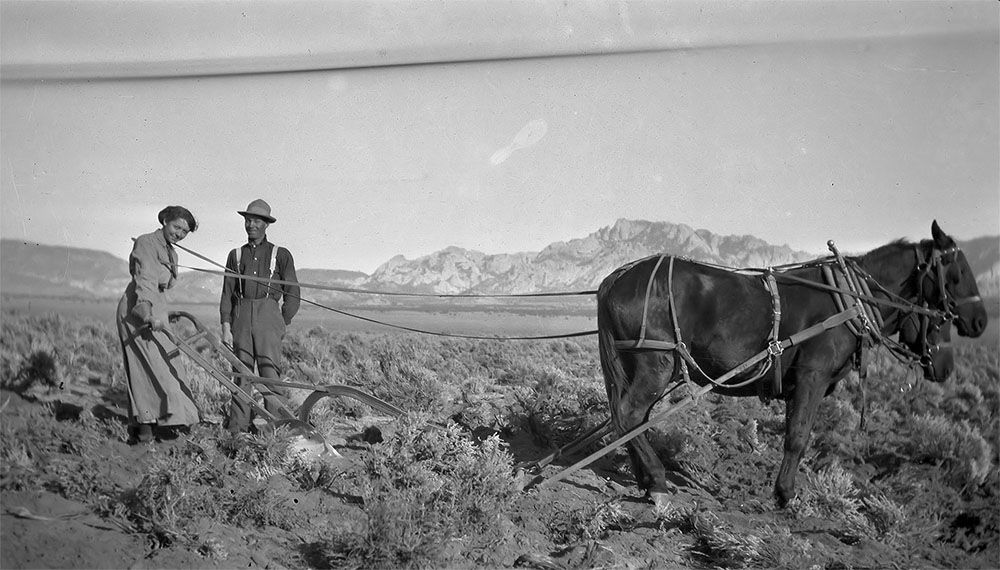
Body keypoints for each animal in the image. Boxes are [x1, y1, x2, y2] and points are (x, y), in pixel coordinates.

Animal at [596, 220, 988, 504]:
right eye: (957, 274)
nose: (980, 322)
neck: (849, 298)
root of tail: (614, 278)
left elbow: (795, 434)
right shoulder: (813, 377)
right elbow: (797, 437)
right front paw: (785, 495)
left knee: (632, 420)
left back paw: (645, 477)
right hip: (656, 364)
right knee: (629, 415)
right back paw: (658, 482)